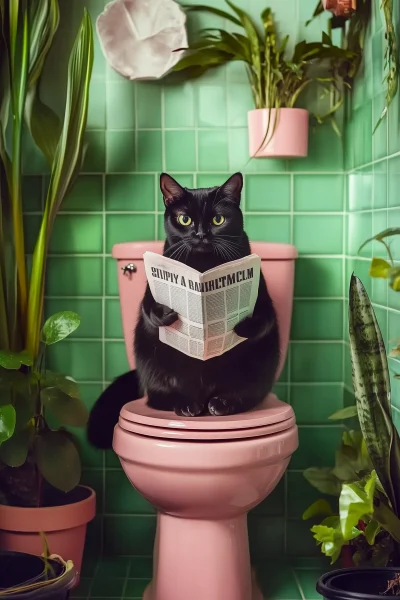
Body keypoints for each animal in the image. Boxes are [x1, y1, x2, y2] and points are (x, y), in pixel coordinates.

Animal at [88, 171, 280, 448]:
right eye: (184, 219)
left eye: (218, 219)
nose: (200, 234)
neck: (203, 265)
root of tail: (204, 396)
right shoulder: (151, 292)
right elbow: (149, 311)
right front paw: (167, 314)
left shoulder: (263, 299)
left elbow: (263, 319)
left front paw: (239, 326)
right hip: (149, 357)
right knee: (158, 398)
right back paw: (186, 405)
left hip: (262, 361)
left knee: (247, 394)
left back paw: (222, 403)